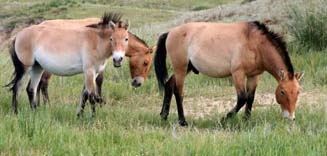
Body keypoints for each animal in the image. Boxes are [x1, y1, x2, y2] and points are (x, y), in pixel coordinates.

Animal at [156, 21, 304, 125]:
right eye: (282, 92)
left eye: (298, 92)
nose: (291, 117)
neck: (254, 42)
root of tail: (170, 32)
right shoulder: (238, 74)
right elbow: (242, 98)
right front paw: (225, 119)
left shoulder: (254, 75)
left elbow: (251, 97)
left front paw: (246, 120)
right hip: (180, 68)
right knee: (178, 92)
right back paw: (182, 121)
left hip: (185, 68)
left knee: (169, 85)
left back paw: (164, 116)